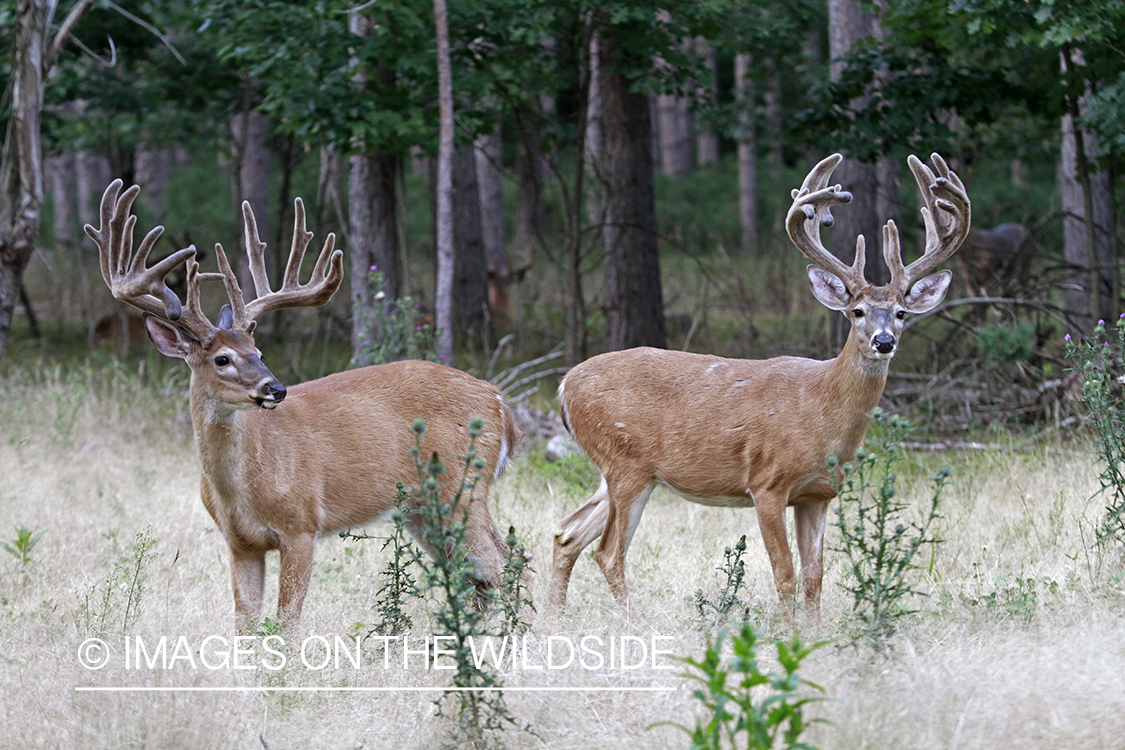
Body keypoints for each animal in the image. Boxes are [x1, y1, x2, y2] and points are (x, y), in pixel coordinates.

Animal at [86, 182, 522, 634]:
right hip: (423, 508)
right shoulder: (239, 543)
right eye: (223, 358)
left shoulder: (302, 524)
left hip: (463, 486)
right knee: (477, 574)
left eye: (258, 352)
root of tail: (499, 402)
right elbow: (244, 624)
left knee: (505, 562)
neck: (241, 487)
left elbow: (287, 624)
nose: (275, 389)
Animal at [549, 154, 972, 620]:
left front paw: (814, 631)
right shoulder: (767, 482)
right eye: (857, 311)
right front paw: (788, 633)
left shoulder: (818, 494)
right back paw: (631, 621)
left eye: (901, 312)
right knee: (608, 551)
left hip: (614, 472)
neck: (822, 413)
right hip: (626, 464)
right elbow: (784, 575)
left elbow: (814, 577)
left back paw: (554, 618)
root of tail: (564, 386)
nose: (884, 341)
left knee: (566, 534)